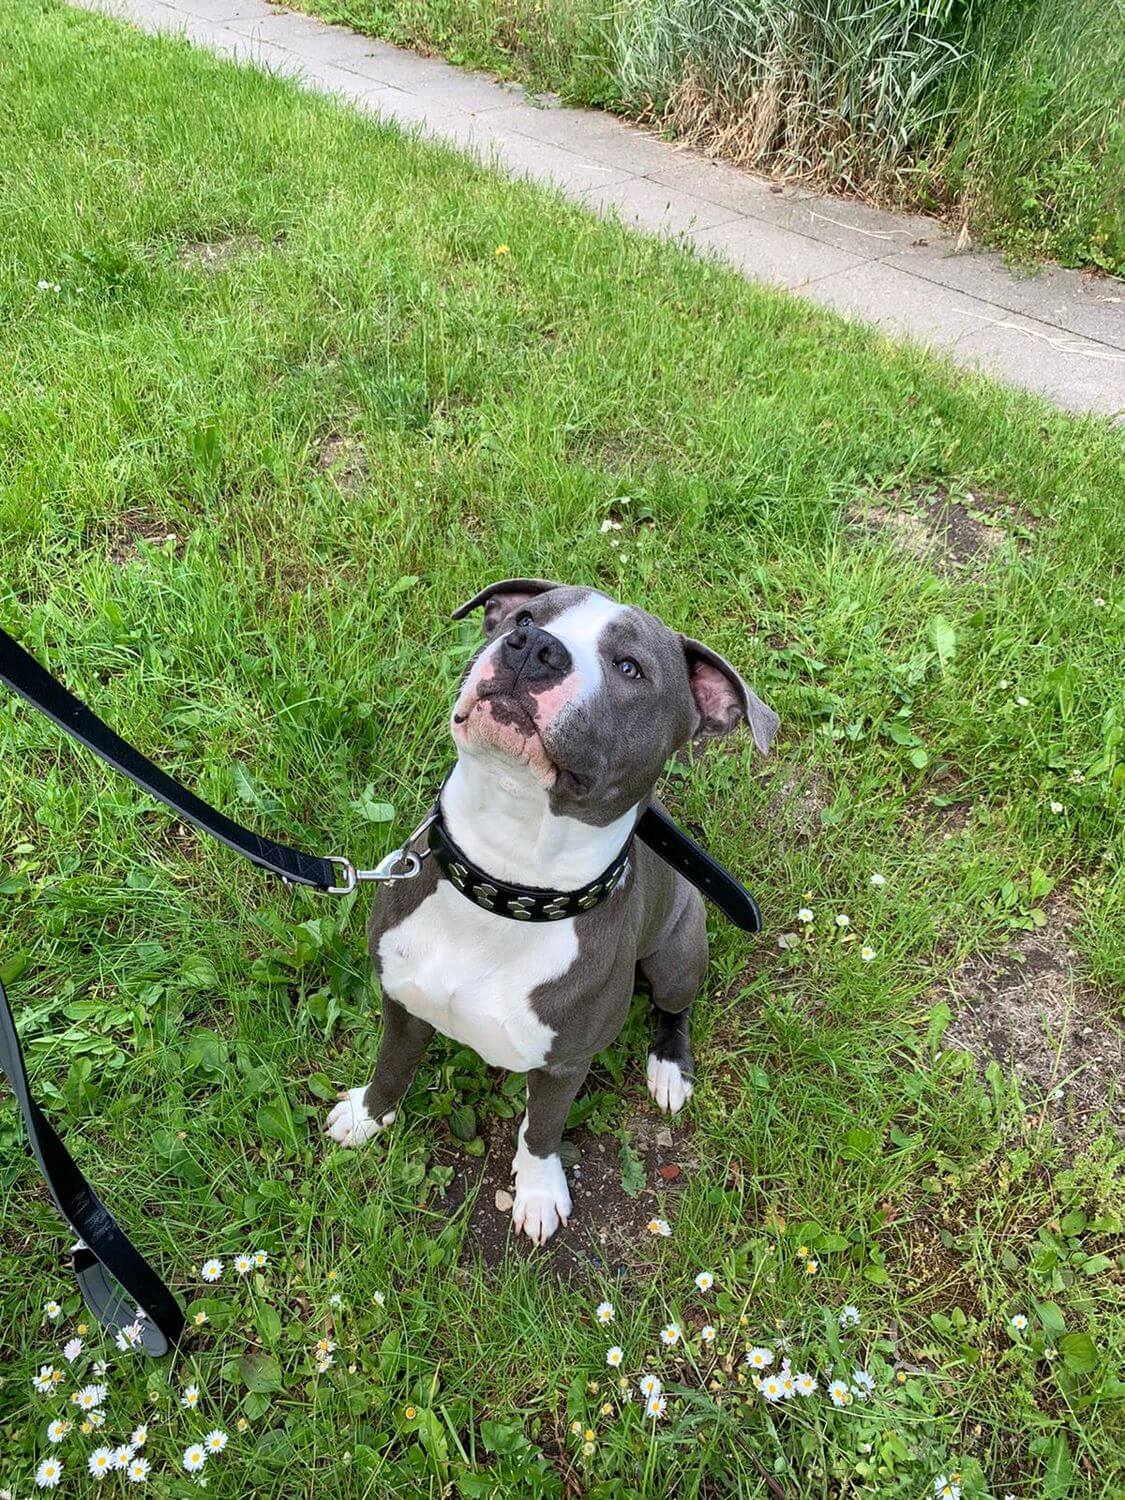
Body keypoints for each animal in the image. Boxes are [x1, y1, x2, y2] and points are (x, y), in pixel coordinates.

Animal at [324, 579, 774, 1248]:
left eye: (629, 667)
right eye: (526, 617)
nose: (534, 647)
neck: (508, 880)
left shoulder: (564, 1064)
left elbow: (542, 1129)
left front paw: (537, 1193)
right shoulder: (401, 1003)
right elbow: (390, 1068)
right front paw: (365, 1116)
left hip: (677, 955)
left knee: (675, 1009)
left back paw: (669, 1069)